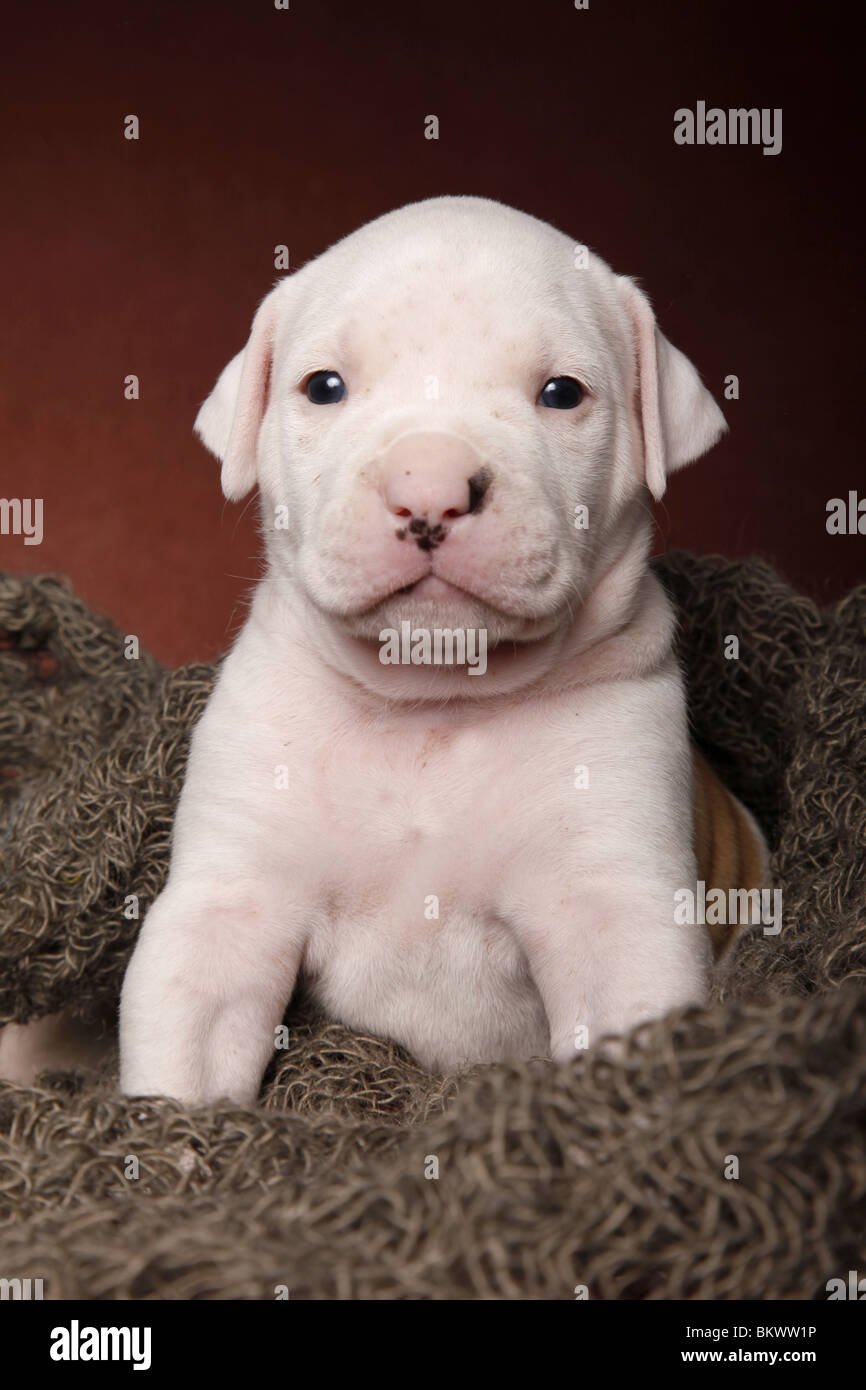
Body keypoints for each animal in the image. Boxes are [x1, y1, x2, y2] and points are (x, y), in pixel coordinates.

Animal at [1, 195, 767, 1100]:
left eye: (562, 393)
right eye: (324, 387)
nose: (428, 489)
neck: (428, 702)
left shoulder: (616, 914)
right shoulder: (230, 903)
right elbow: (186, 1065)